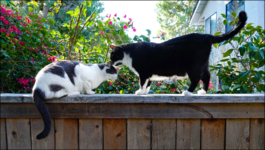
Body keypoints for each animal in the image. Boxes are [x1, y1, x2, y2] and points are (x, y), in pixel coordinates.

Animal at [108, 11, 246, 96]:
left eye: (112, 56)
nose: (110, 63)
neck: (129, 54)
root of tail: (206, 35)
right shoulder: (148, 74)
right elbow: (148, 83)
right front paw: (145, 92)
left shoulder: (144, 72)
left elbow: (142, 83)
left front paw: (141, 92)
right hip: (204, 63)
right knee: (206, 76)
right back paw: (202, 92)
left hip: (193, 65)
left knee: (196, 78)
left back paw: (188, 92)